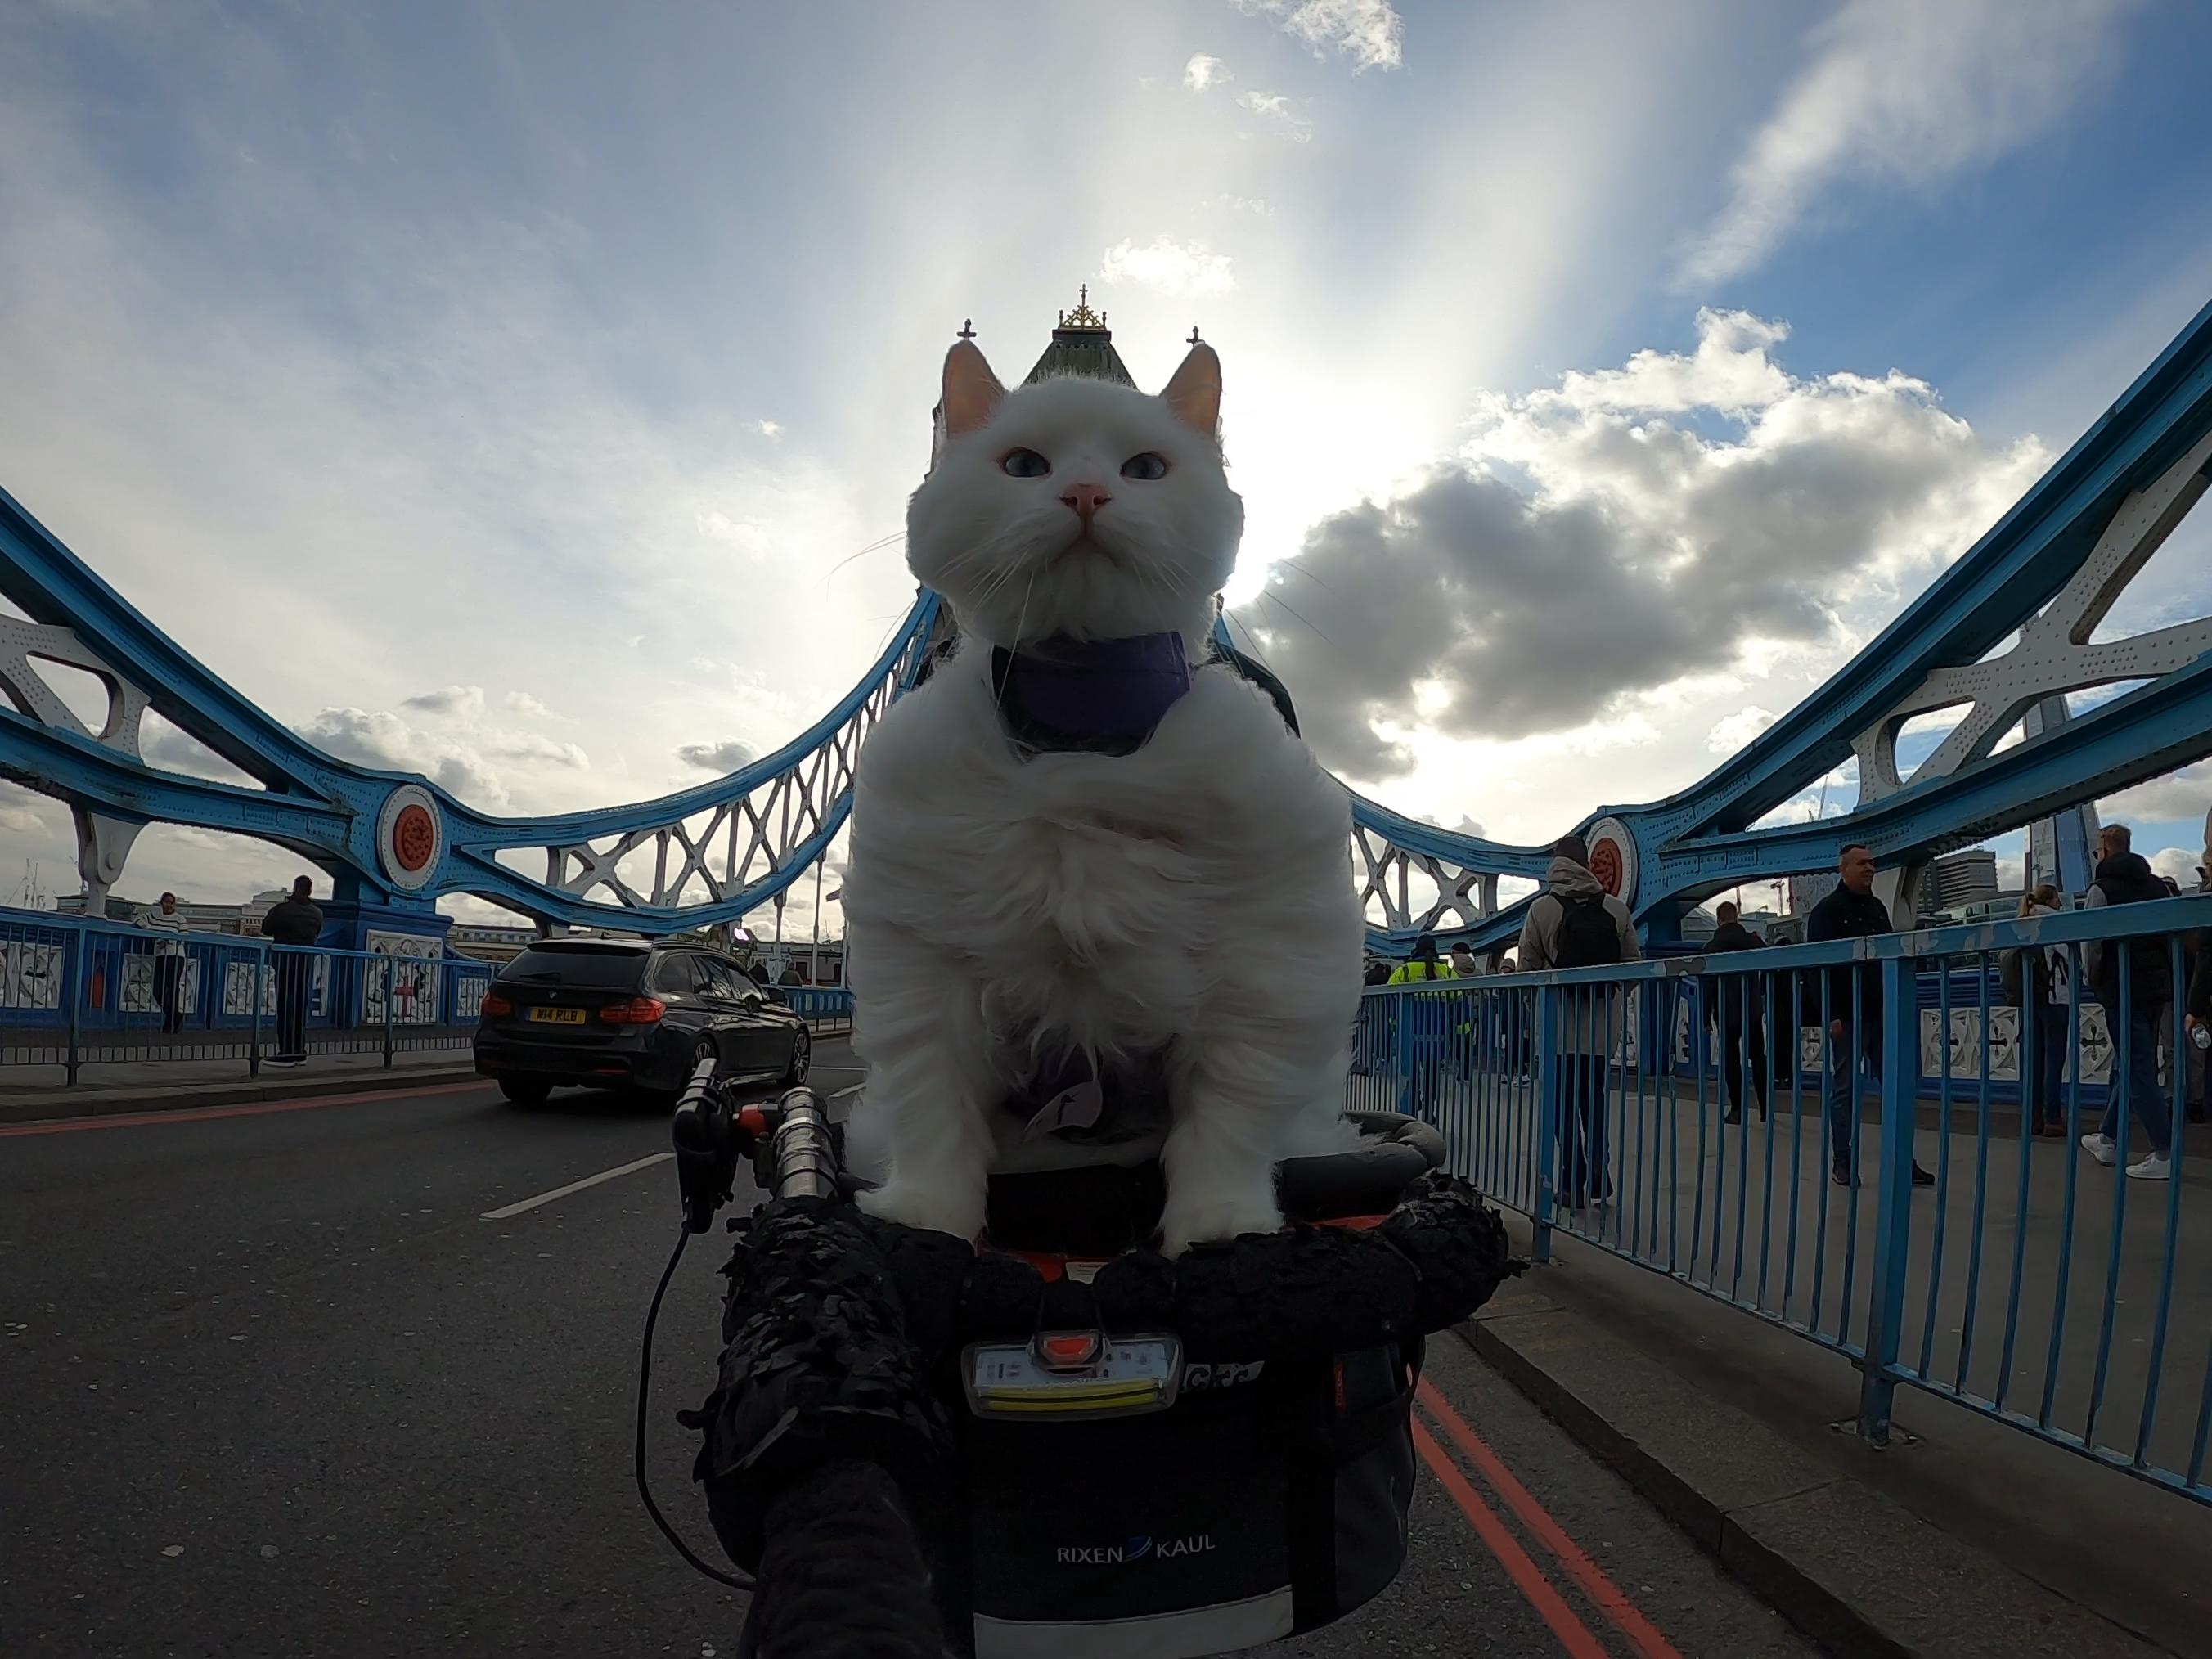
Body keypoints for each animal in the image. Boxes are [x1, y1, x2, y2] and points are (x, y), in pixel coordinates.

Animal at [840, 340, 1362, 1256]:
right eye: (1024, 466)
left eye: (1144, 469)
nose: (1086, 493)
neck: (1081, 723)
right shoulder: (922, 960)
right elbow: (933, 1109)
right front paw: (927, 1222)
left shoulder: (1268, 962)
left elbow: (1226, 1117)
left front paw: (1219, 1228)